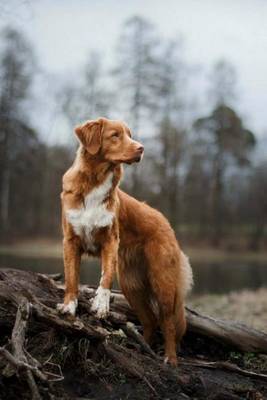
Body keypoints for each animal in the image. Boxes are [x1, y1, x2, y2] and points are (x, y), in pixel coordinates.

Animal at [57, 116, 194, 366]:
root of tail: (165, 222)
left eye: (130, 135)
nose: (141, 148)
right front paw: (69, 306)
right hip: (132, 286)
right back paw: (144, 349)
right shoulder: (70, 240)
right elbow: (71, 277)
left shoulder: (111, 241)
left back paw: (170, 358)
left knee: (167, 322)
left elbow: (106, 276)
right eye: (115, 135)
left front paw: (100, 305)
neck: (95, 182)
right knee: (149, 320)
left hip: (162, 282)